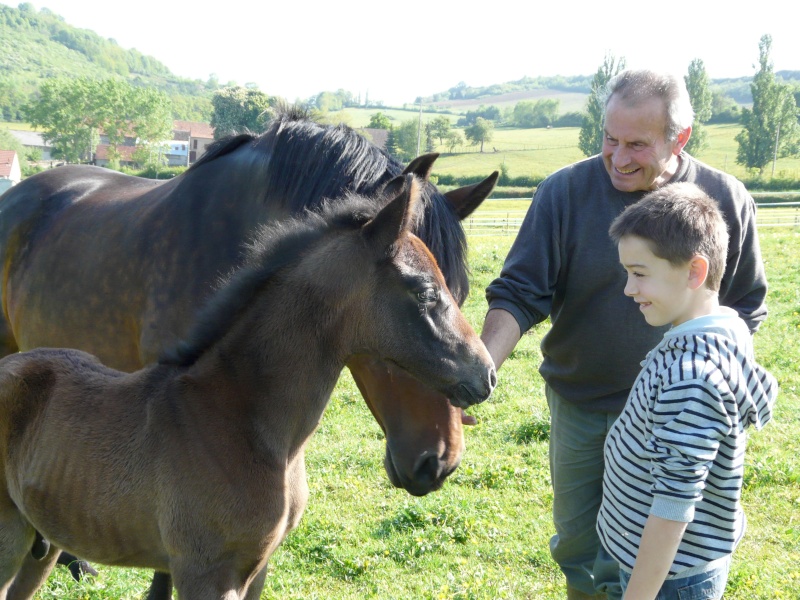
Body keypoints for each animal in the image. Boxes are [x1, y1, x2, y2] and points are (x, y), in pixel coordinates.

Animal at [0, 179, 496, 600]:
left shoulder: (257, 568)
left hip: (39, 541)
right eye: (425, 292)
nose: (487, 375)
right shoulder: (203, 573)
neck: (241, 418)